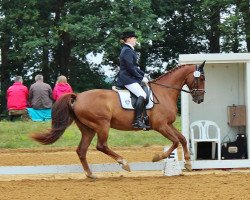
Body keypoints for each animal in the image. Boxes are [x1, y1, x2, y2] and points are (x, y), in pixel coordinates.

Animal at [31, 61, 206, 179]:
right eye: (201, 78)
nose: (200, 99)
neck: (164, 93)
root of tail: (78, 96)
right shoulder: (161, 126)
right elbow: (175, 141)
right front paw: (157, 157)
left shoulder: (168, 124)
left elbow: (182, 139)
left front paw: (188, 164)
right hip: (102, 125)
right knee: (101, 146)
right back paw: (124, 163)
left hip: (88, 129)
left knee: (81, 150)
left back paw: (90, 174)